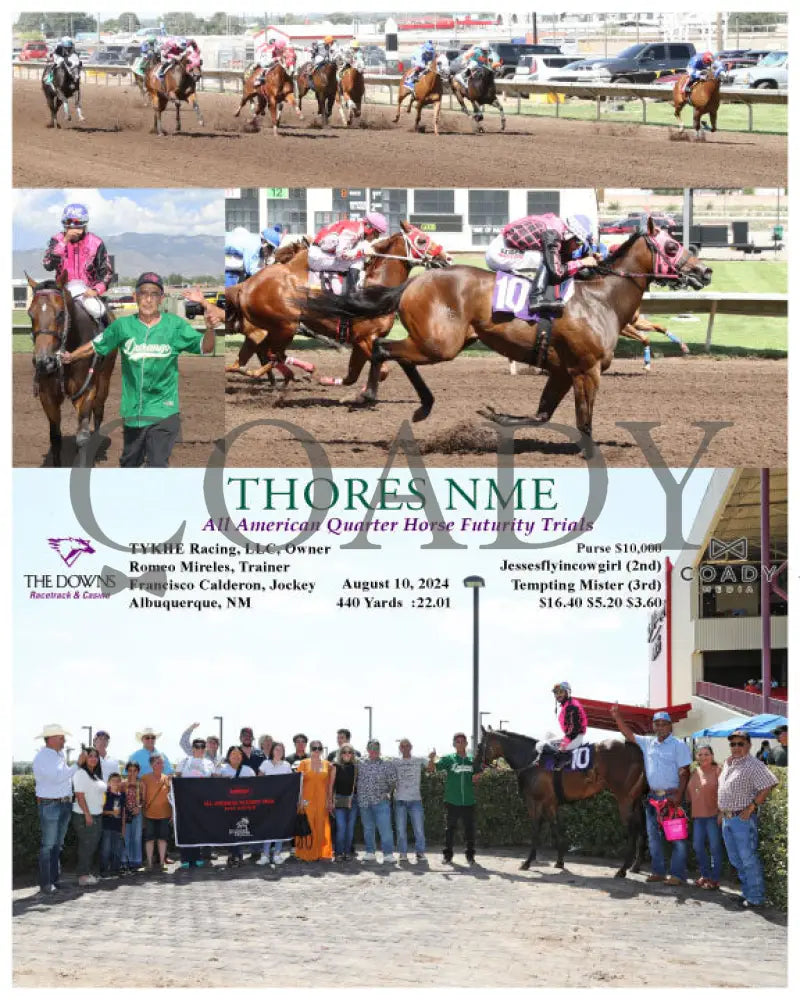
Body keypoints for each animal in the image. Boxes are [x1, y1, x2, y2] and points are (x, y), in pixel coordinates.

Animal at [26, 270, 116, 464]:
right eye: (30, 314)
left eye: (60, 314)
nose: (44, 362)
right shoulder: (47, 395)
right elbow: (55, 437)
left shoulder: (86, 391)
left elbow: (82, 437)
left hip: (104, 379)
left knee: (98, 411)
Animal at [225, 224, 450, 390]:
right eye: (421, 240)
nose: (447, 258)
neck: (375, 287)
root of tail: (246, 285)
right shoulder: (365, 338)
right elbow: (382, 371)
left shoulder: (361, 341)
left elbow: (355, 375)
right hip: (285, 326)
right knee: (271, 354)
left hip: (275, 328)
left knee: (267, 354)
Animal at [302, 220, 712, 458]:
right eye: (672, 247)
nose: (705, 272)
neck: (601, 299)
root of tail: (414, 281)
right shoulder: (586, 370)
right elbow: (582, 420)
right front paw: (593, 454)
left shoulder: (562, 371)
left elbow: (541, 414)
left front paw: (494, 414)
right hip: (440, 344)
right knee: (383, 349)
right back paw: (369, 396)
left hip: (442, 342)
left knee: (394, 354)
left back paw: (421, 406)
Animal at [478, 728, 648, 876]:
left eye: (480, 745)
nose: (477, 767)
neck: (532, 759)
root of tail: (636, 751)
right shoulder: (550, 804)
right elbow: (555, 829)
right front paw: (559, 861)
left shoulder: (535, 802)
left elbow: (536, 830)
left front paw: (527, 862)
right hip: (636, 800)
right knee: (642, 829)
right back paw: (635, 865)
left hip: (624, 799)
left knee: (633, 830)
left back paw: (622, 869)